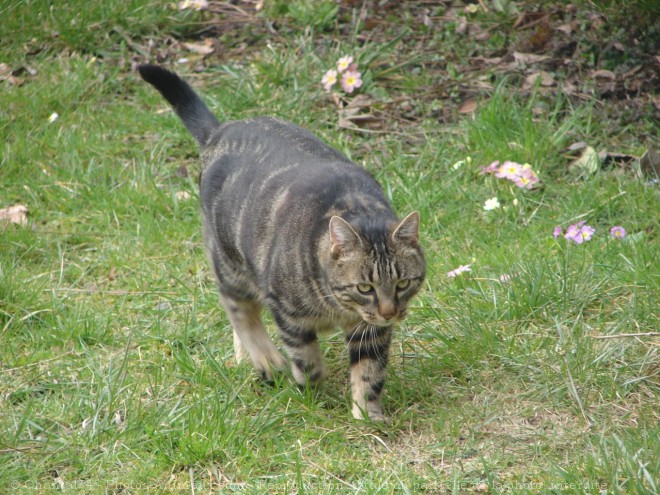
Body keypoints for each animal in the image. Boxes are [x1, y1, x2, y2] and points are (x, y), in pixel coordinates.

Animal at [140, 65, 428, 422]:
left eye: (403, 283)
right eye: (365, 287)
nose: (389, 312)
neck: (337, 307)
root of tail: (220, 131)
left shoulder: (370, 330)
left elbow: (369, 372)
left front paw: (367, 414)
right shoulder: (288, 313)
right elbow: (307, 359)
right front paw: (312, 390)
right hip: (230, 261)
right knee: (237, 308)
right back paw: (266, 359)